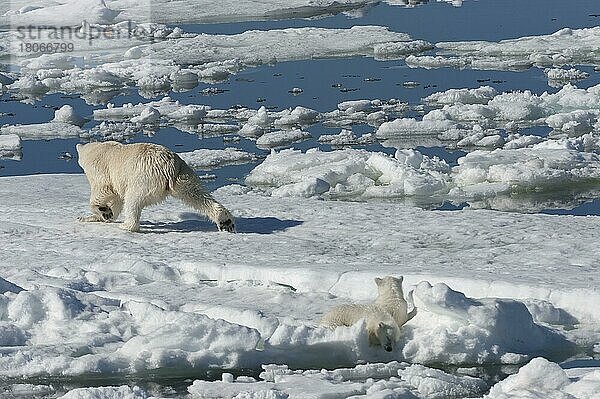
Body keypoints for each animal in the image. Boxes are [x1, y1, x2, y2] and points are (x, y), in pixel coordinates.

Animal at [75, 141, 234, 233]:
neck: (94, 149)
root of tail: (168, 166)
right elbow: (117, 201)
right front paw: (91, 217)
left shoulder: (100, 170)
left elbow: (104, 190)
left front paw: (103, 211)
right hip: (183, 174)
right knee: (196, 195)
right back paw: (225, 221)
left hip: (145, 178)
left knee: (133, 200)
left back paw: (127, 226)